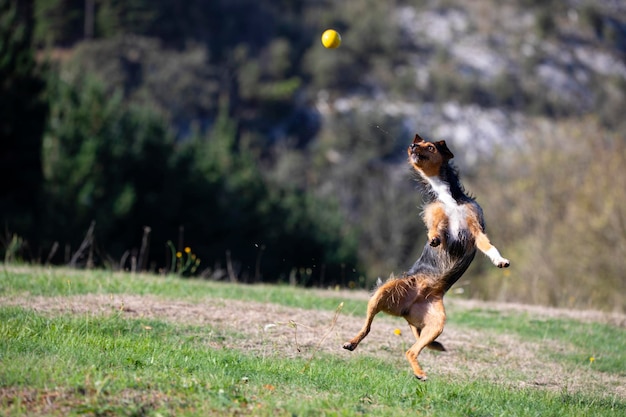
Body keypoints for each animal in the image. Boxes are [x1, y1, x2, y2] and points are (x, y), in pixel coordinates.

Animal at [342, 134, 508, 380]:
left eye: (429, 146)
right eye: (417, 144)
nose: (412, 146)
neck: (446, 196)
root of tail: (406, 311)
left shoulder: (475, 229)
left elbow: (489, 247)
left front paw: (500, 260)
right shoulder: (436, 219)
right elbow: (436, 230)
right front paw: (434, 239)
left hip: (436, 324)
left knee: (411, 351)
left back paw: (419, 373)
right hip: (382, 293)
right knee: (368, 326)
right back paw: (352, 342)